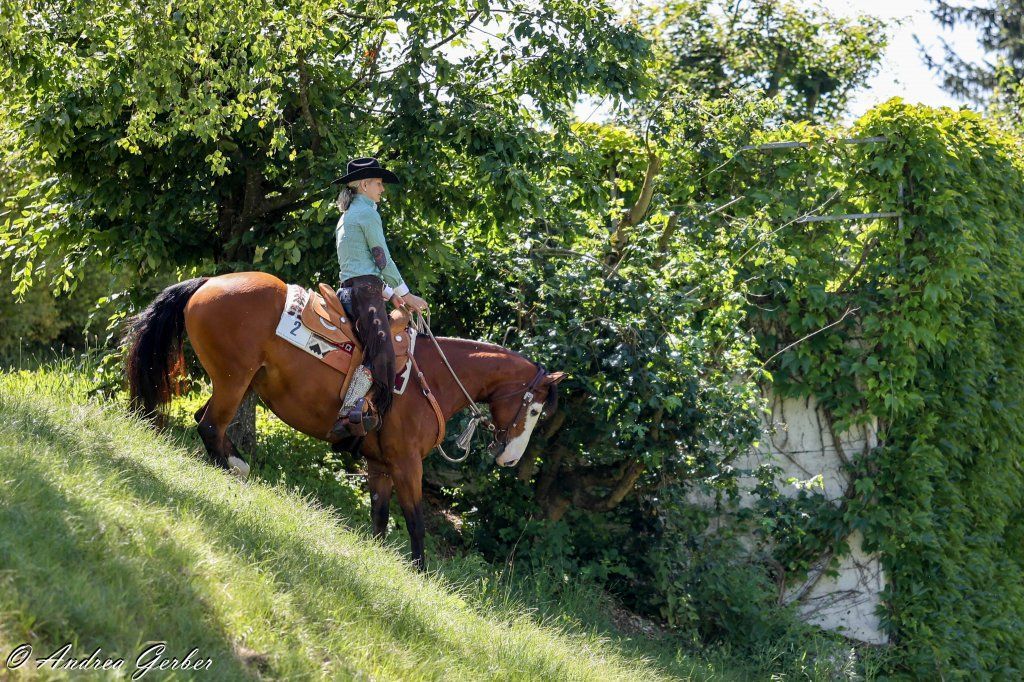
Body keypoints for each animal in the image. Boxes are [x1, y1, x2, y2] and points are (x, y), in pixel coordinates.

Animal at [123, 271, 564, 569]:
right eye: (536, 409)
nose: (510, 458)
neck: (433, 378)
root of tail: (210, 282)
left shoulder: (380, 464)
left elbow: (380, 518)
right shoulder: (407, 464)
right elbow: (416, 521)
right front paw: (422, 574)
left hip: (240, 382)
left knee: (205, 421)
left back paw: (231, 465)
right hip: (234, 379)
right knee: (210, 425)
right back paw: (234, 468)